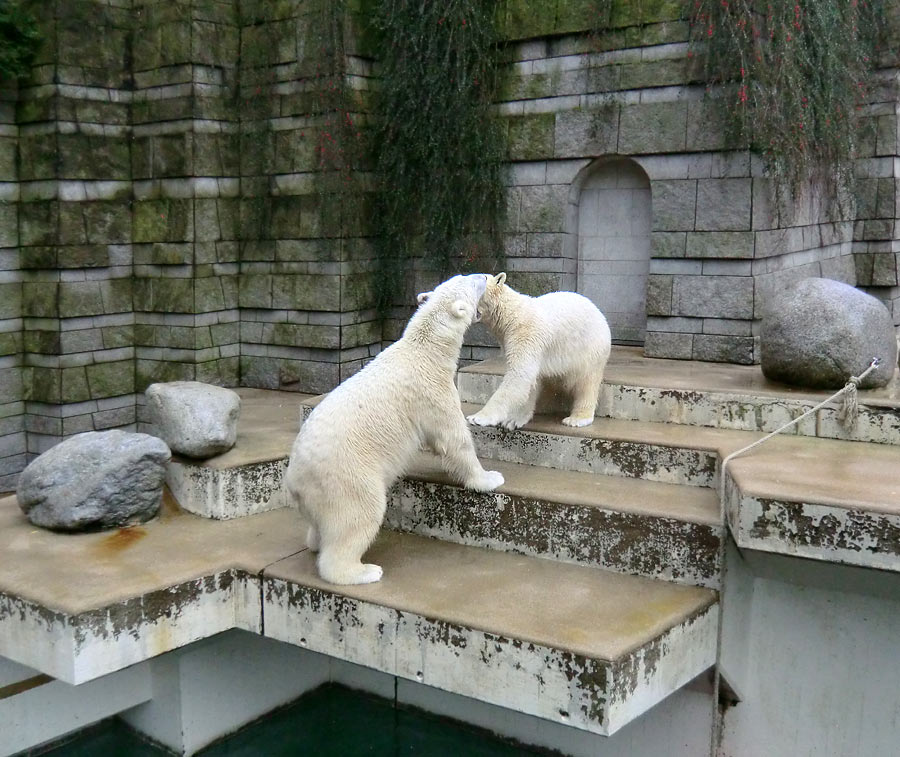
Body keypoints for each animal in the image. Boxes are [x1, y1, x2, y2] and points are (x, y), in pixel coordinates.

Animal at [284, 274, 502, 588]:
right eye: (470, 282)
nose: (484, 275)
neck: (425, 350)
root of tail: (294, 482)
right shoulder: (432, 390)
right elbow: (452, 438)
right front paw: (489, 478)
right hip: (346, 478)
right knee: (359, 516)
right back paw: (363, 571)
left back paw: (316, 542)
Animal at [468, 274, 616, 432]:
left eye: (482, 278)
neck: (511, 315)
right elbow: (529, 380)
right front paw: (513, 420)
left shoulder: (526, 335)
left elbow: (519, 374)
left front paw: (478, 418)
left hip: (590, 349)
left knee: (586, 382)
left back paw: (577, 419)